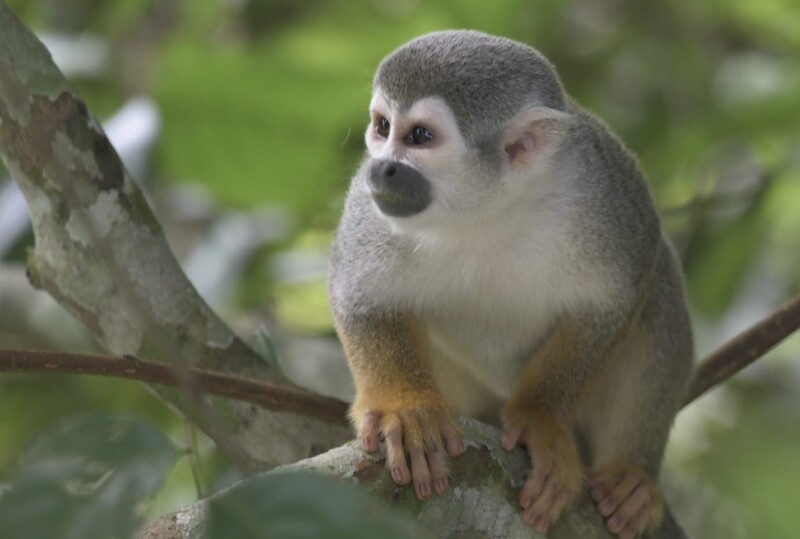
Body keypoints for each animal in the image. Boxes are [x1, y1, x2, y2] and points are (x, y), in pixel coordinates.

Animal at [328, 30, 692, 539]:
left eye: (420, 136)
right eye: (382, 128)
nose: (381, 168)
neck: (486, 210)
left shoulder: (606, 190)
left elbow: (621, 294)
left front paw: (539, 417)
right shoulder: (371, 204)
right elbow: (360, 293)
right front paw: (404, 406)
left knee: (660, 290)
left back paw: (632, 478)